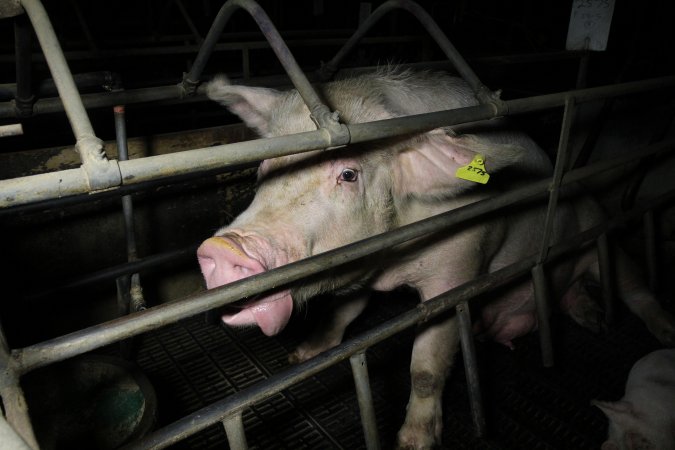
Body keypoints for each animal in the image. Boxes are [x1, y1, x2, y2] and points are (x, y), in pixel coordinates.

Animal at [197, 67, 675, 450]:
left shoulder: (458, 272)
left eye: (349, 174)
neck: (393, 264)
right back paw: (591, 319)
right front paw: (302, 356)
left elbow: (426, 367)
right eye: (265, 169)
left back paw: (659, 333)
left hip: (604, 234)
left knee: (636, 289)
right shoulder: (360, 264)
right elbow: (343, 312)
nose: (223, 249)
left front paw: (413, 442)